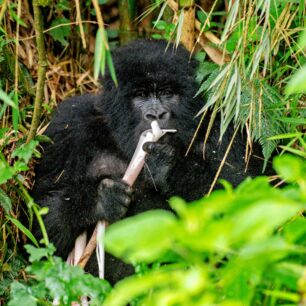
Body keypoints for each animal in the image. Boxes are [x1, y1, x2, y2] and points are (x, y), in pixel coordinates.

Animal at [31, 38, 266, 284]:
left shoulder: (227, 122)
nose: (156, 115)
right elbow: (42, 225)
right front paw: (97, 200)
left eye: (168, 92)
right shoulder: (68, 123)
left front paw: (170, 167)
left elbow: (250, 191)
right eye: (141, 95)